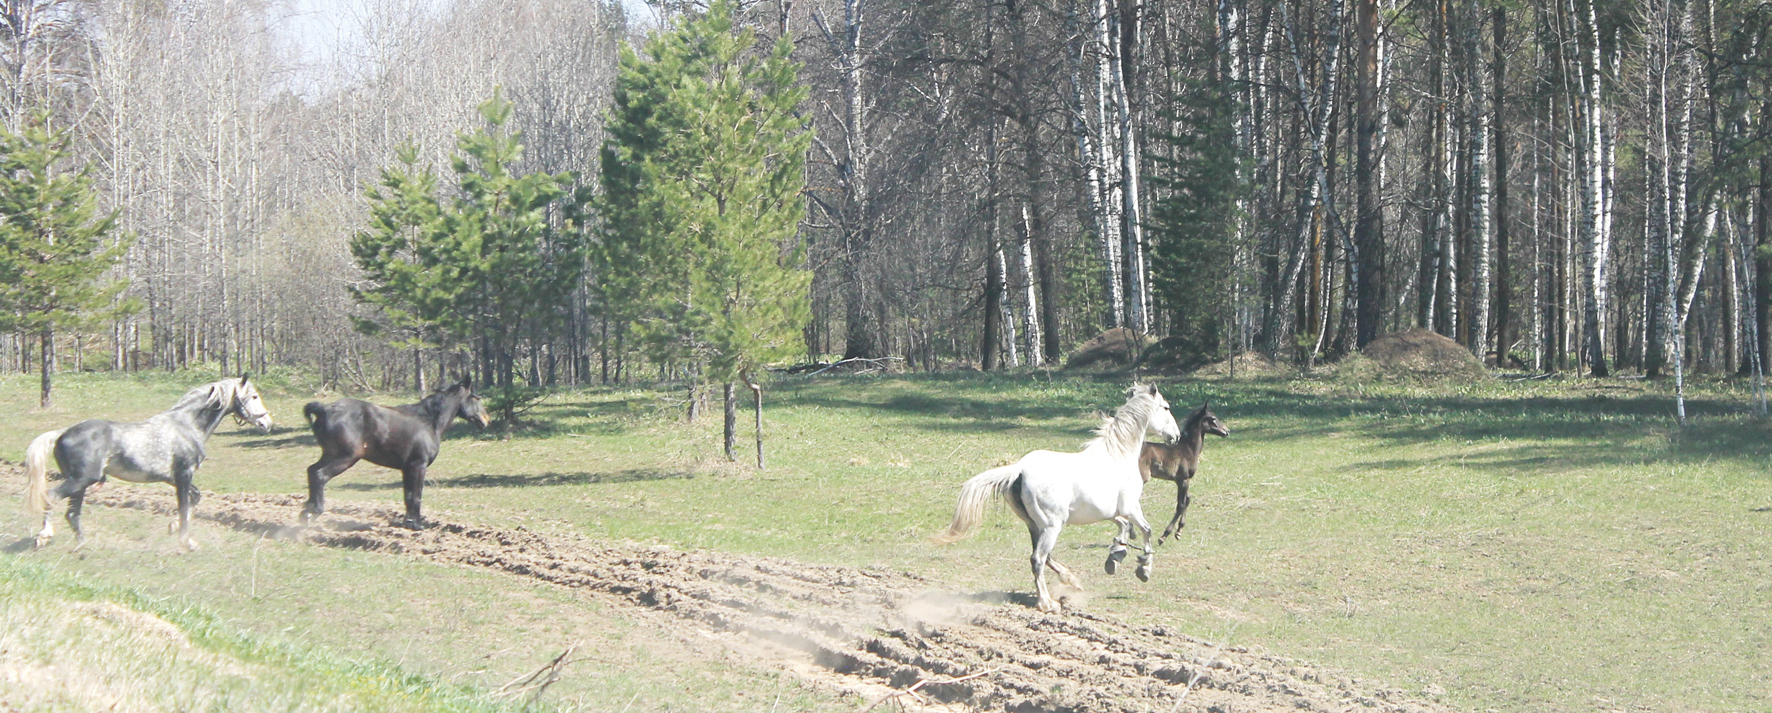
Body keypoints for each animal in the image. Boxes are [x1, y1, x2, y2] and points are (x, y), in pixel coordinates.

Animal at [23, 372, 272, 549]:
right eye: (254, 396)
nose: (267, 423)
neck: (186, 426)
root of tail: (62, 434)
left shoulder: (173, 478)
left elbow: (195, 498)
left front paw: (173, 527)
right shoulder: (183, 474)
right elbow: (184, 505)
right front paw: (186, 541)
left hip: (81, 484)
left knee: (72, 514)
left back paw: (82, 544)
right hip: (79, 481)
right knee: (51, 497)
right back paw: (44, 535)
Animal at [299, 379, 485, 528]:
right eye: (476, 398)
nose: (485, 420)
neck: (427, 422)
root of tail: (324, 409)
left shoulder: (407, 468)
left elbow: (408, 496)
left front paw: (408, 522)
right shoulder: (419, 465)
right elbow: (416, 495)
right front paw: (417, 525)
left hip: (330, 455)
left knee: (311, 471)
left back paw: (306, 510)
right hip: (346, 457)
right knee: (320, 475)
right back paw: (315, 510)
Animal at [942, 384, 1176, 613]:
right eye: (1165, 407)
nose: (1175, 435)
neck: (1118, 455)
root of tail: (1019, 470)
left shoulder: (1110, 513)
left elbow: (1125, 527)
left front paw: (1115, 557)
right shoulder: (1130, 507)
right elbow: (1146, 529)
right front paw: (1143, 568)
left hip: (1035, 525)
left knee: (1044, 556)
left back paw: (1071, 580)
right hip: (1051, 525)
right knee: (1038, 559)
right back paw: (1047, 604)